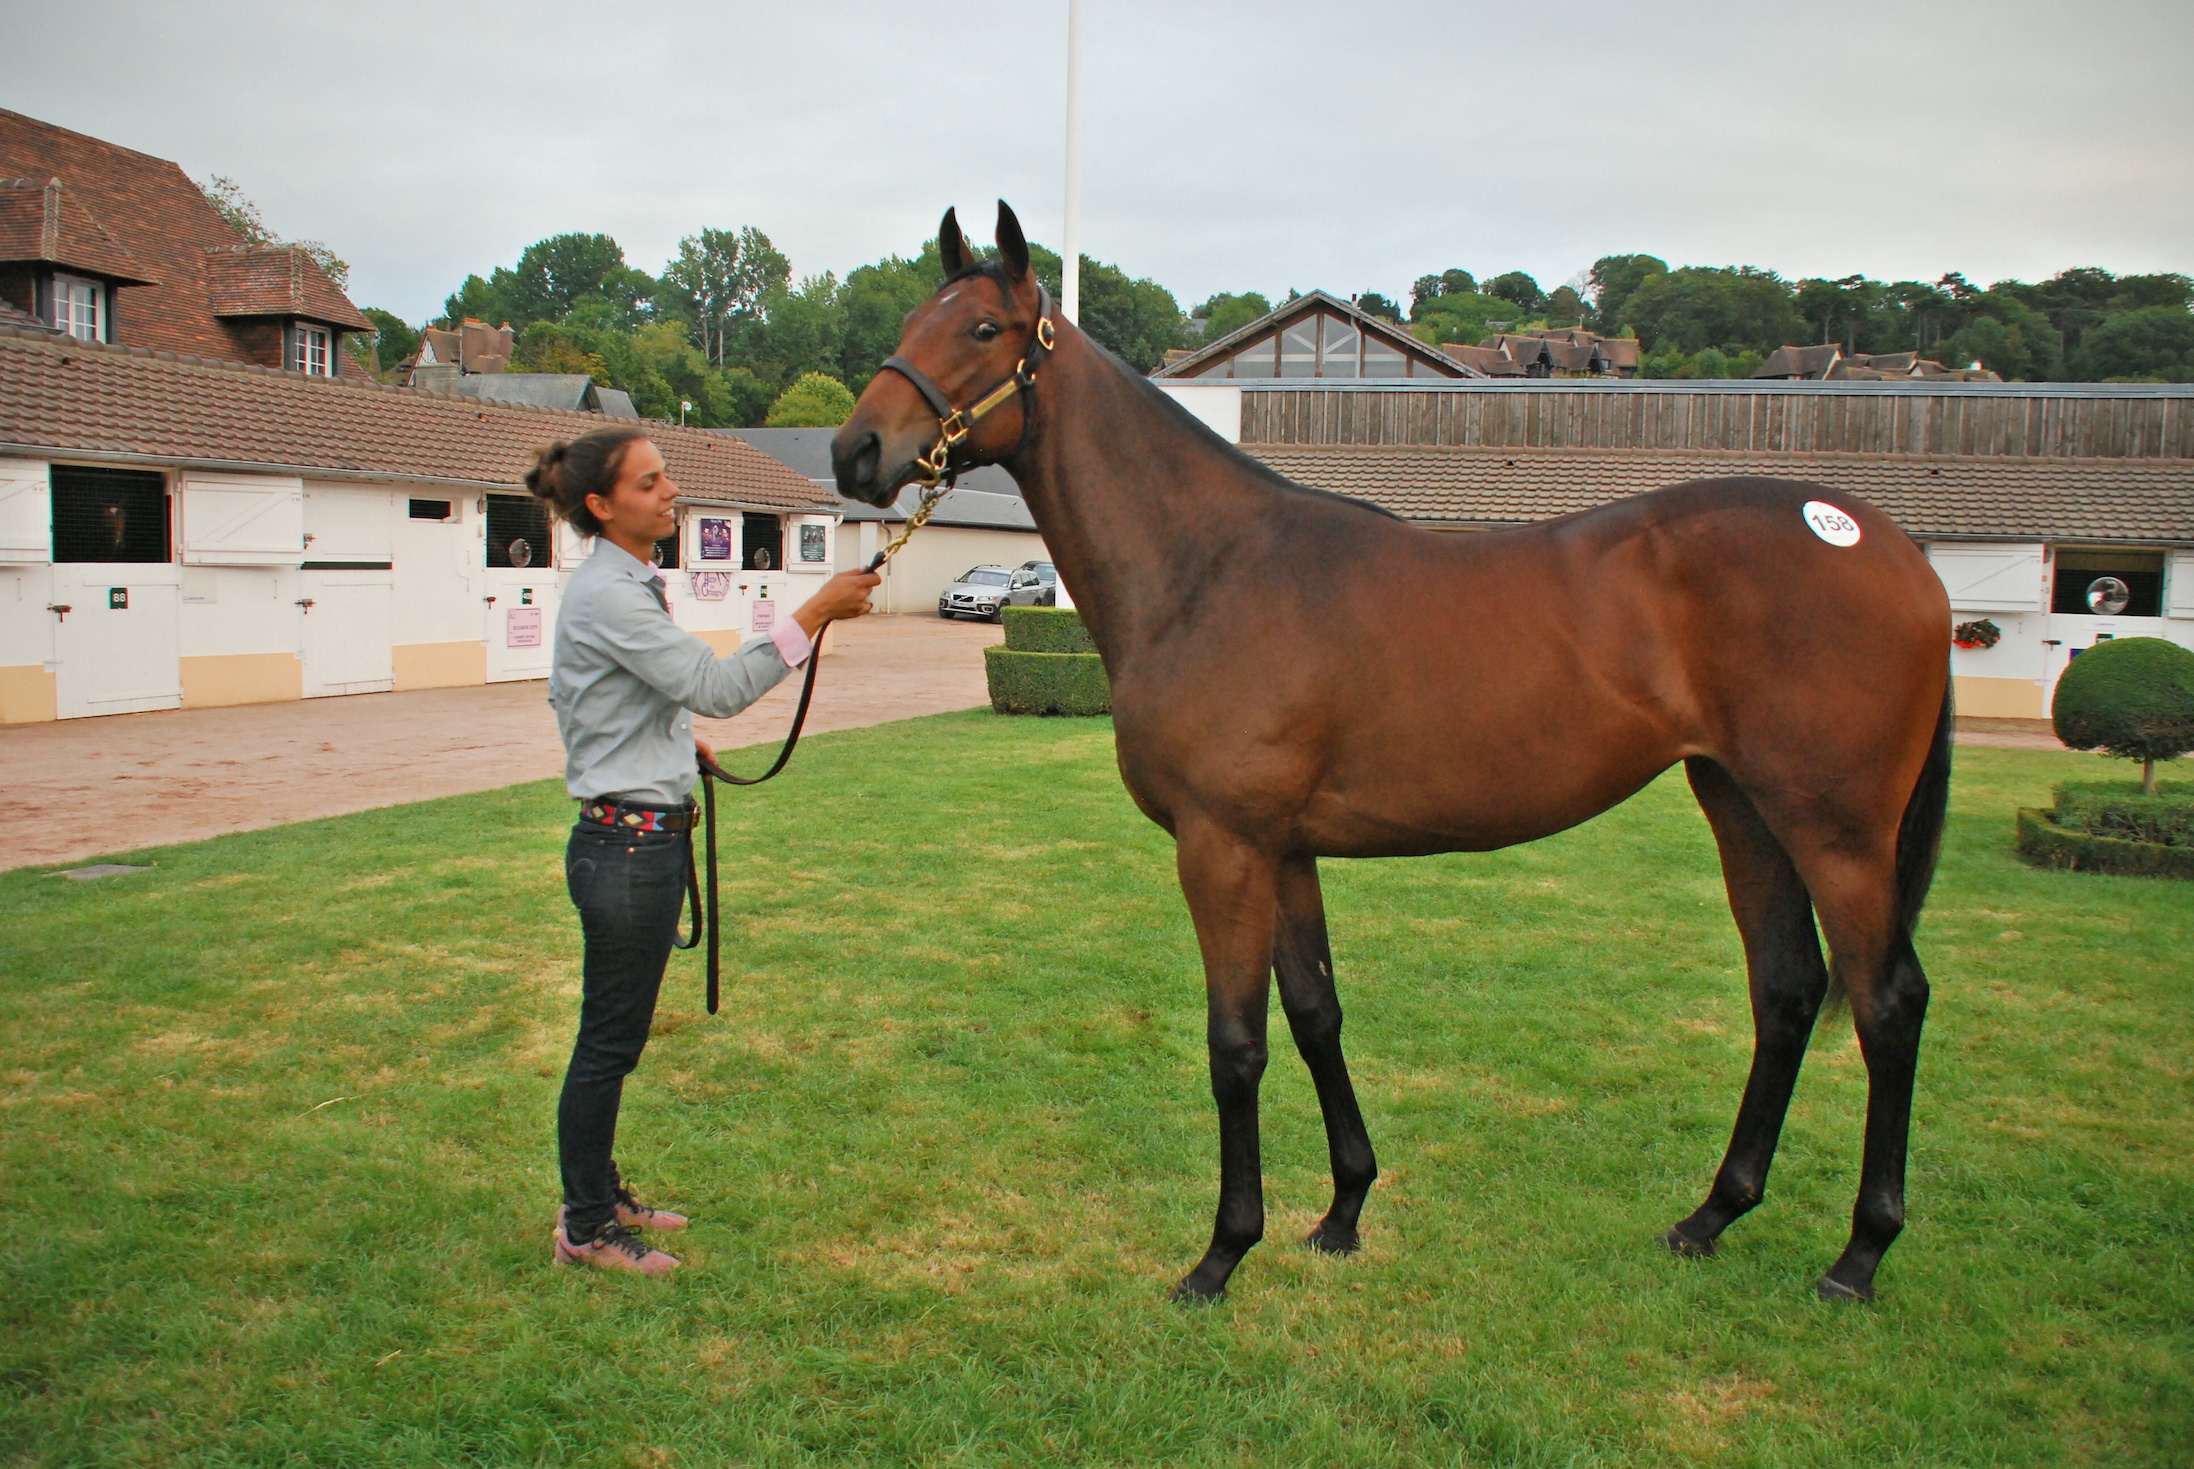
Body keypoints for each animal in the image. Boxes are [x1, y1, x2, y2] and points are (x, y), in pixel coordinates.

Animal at [833, 201, 1957, 1306]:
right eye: (911, 320)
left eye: (984, 329)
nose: (855, 451)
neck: (1209, 568)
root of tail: (1891, 549)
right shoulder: (1285, 850)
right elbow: (1316, 1013)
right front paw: (1341, 1210)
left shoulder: (1223, 847)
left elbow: (1236, 1045)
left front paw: (1221, 1253)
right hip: (1744, 806)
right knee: (1787, 991)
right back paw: (1711, 1215)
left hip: (1837, 830)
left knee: (1887, 1002)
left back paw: (1859, 1254)